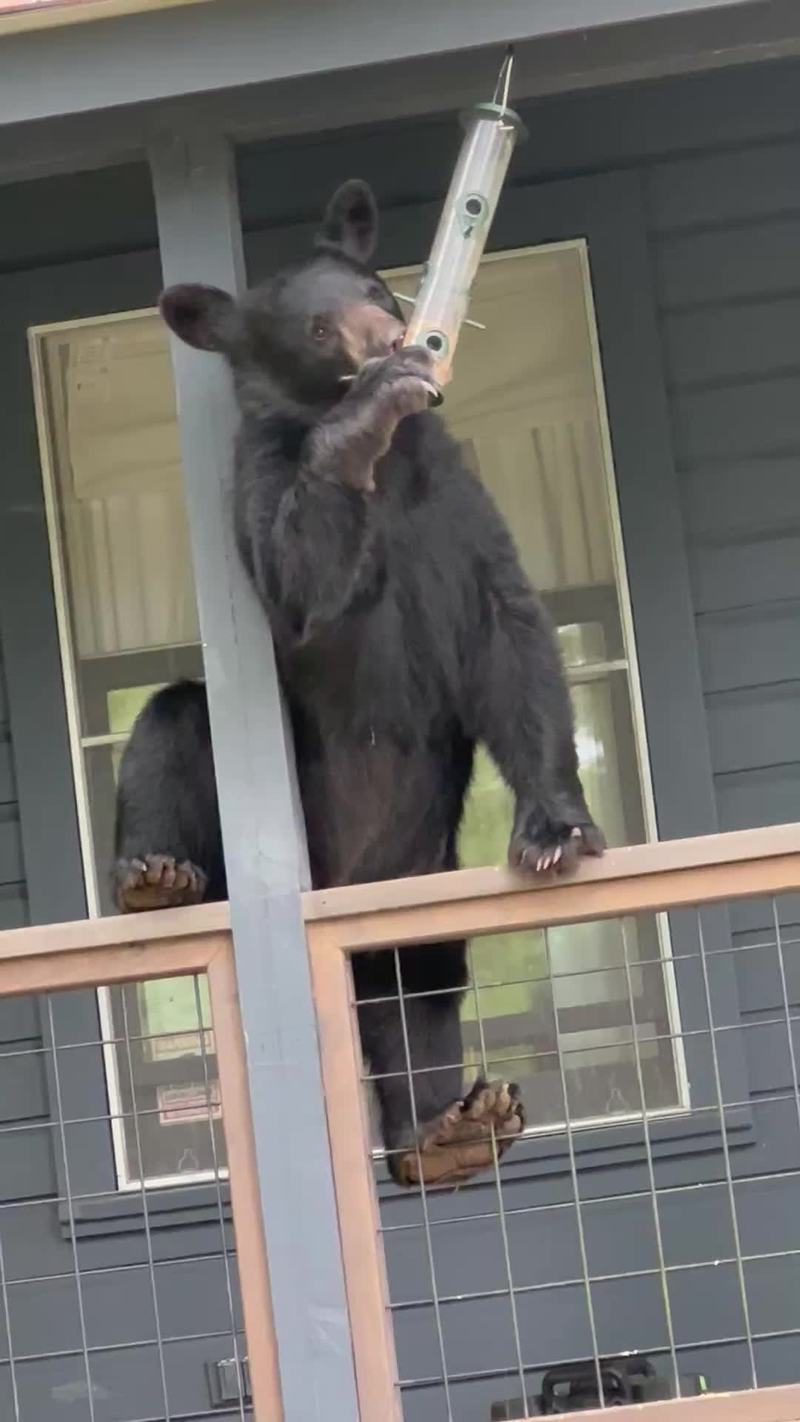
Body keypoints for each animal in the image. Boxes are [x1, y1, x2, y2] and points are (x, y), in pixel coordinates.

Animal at [114, 179, 604, 1188]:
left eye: (377, 286)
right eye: (315, 326)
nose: (393, 337)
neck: (396, 468)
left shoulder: (453, 495)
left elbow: (509, 632)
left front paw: (553, 830)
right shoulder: (261, 487)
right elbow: (305, 582)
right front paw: (363, 416)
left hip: (421, 875)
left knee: (418, 982)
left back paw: (446, 1131)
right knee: (174, 720)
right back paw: (157, 877)